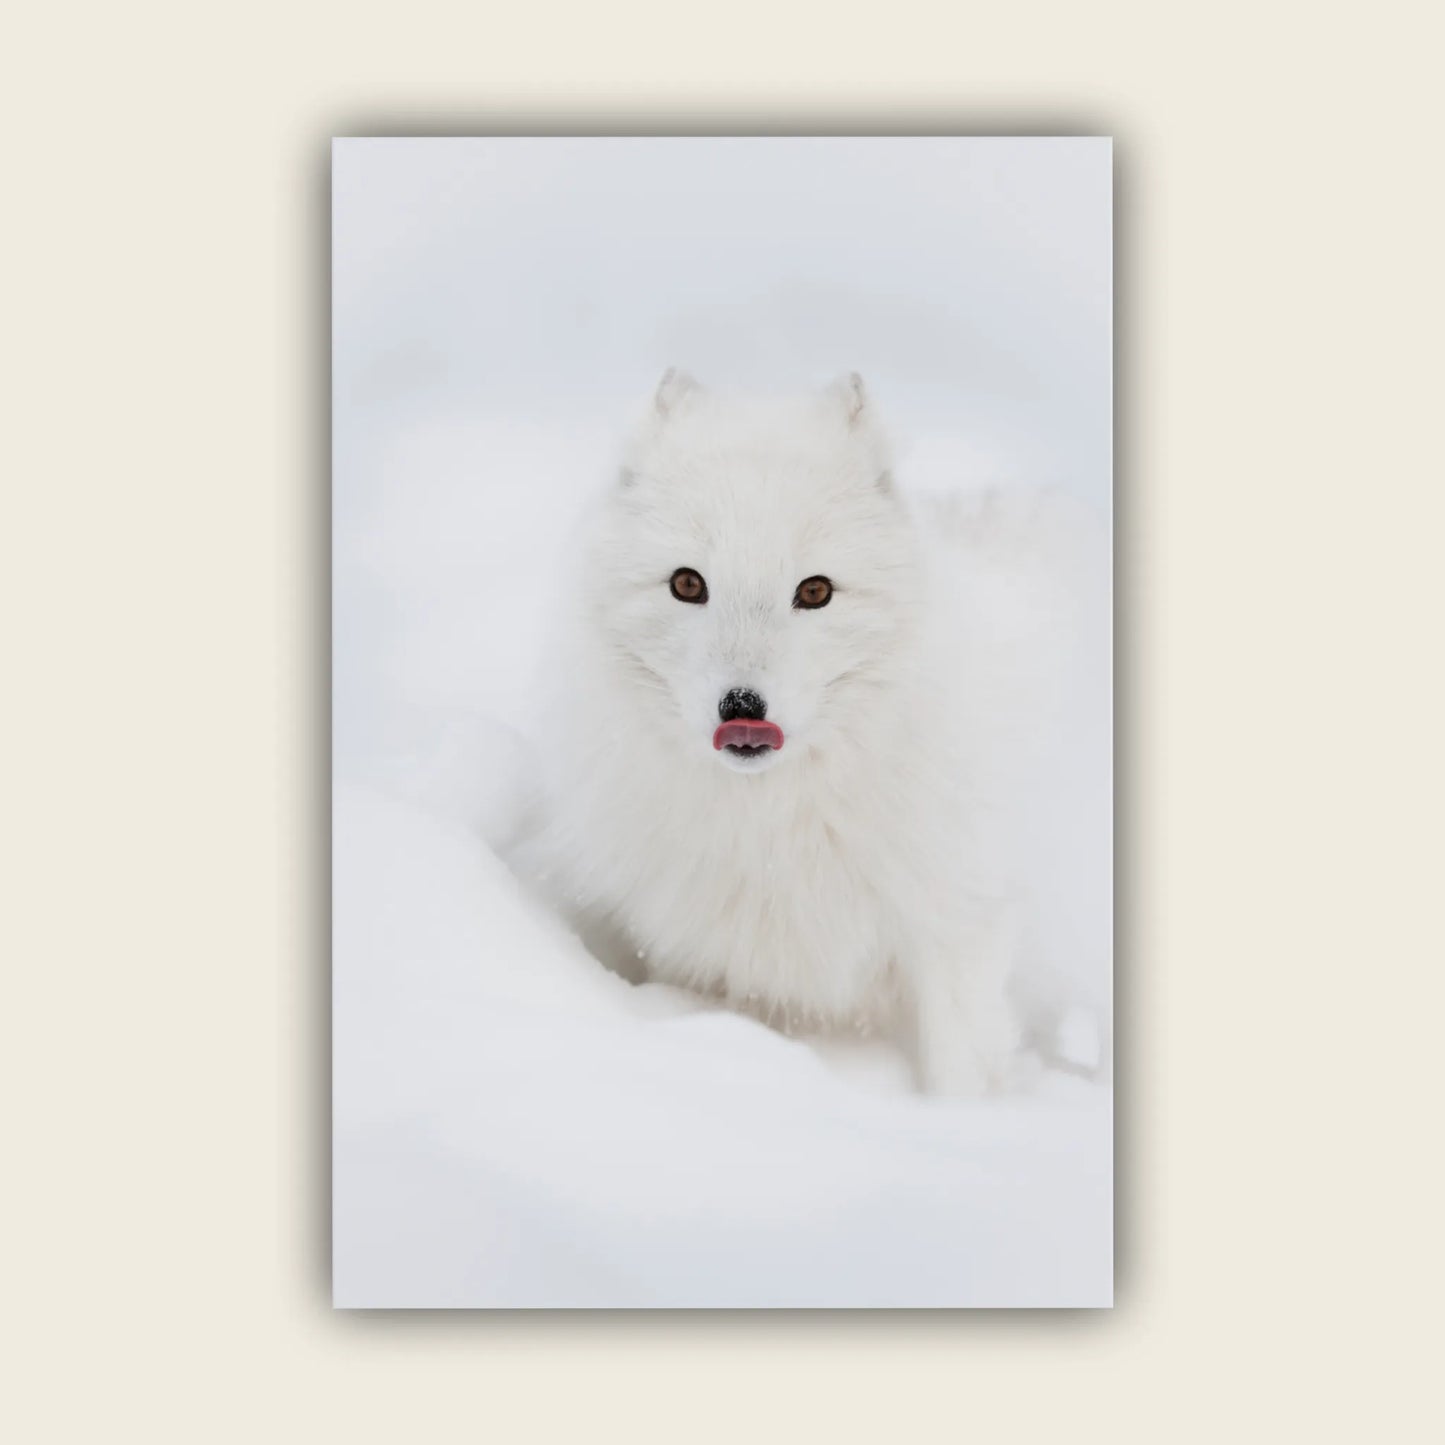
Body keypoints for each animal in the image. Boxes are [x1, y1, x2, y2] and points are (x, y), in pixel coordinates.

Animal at [511, 370, 1110, 1096]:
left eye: (815, 591)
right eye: (687, 583)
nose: (741, 706)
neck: (776, 816)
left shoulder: (961, 923)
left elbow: (960, 1069)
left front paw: (960, 1119)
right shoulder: (703, 947)